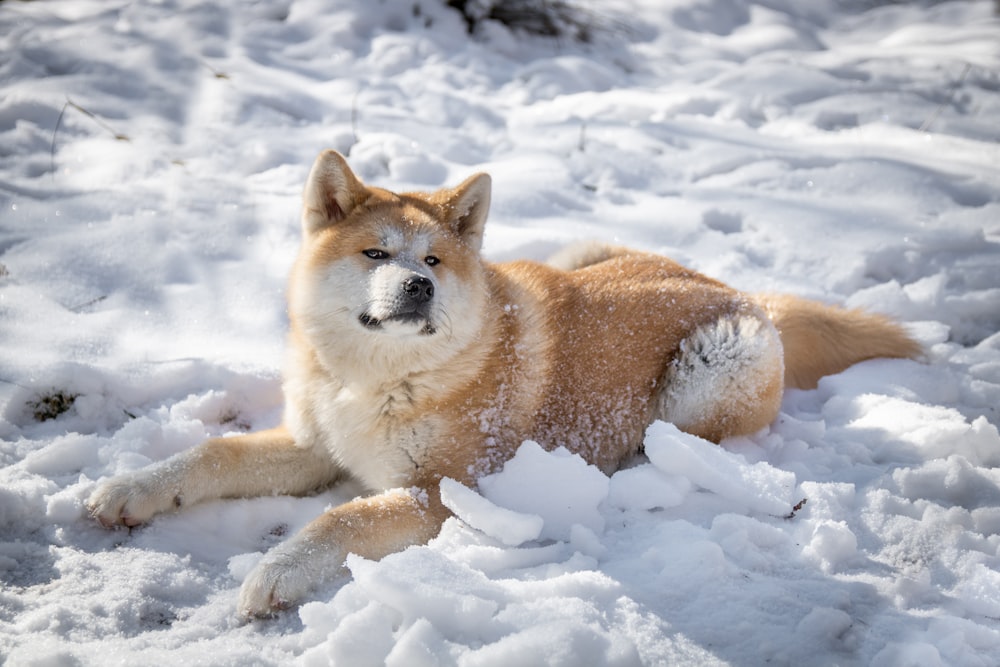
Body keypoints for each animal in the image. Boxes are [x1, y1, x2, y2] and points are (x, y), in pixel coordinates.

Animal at [88, 149, 920, 620]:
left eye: (433, 260)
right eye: (375, 253)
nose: (419, 287)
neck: (379, 379)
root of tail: (744, 292)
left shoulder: (441, 491)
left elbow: (339, 519)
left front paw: (273, 573)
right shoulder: (315, 443)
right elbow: (212, 455)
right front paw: (129, 489)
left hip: (708, 371)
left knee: (685, 446)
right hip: (580, 251)